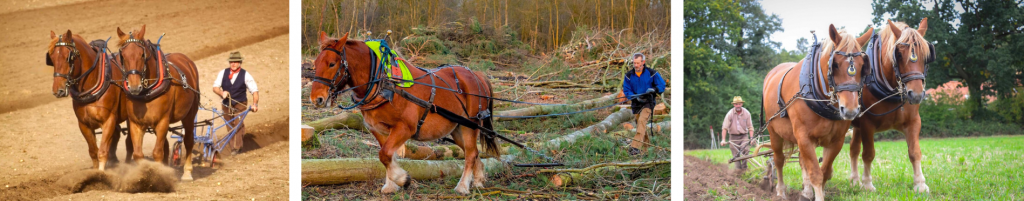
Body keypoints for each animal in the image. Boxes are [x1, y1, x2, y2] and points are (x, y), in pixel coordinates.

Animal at [46, 30, 135, 170]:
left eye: (68, 57)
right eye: (52, 58)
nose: (57, 90)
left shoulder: (109, 120)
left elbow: (102, 152)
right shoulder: (84, 124)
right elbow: (93, 152)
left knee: (129, 141)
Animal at [115, 25, 200, 180]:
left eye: (142, 55)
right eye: (122, 56)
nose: (134, 87)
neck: (146, 93)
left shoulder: (162, 121)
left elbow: (157, 152)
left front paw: (159, 175)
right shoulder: (136, 124)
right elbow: (138, 154)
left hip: (190, 114)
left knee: (188, 140)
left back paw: (187, 172)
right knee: (166, 145)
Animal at [309, 31, 501, 194]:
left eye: (332, 64)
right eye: (315, 64)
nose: (316, 99)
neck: (384, 83)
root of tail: (476, 75)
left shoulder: (405, 128)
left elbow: (385, 154)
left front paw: (402, 178)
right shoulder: (378, 129)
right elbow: (388, 156)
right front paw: (391, 185)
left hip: (471, 126)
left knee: (470, 154)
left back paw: (462, 186)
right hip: (457, 129)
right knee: (473, 152)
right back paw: (478, 180)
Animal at [765, 25, 868, 201]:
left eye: (863, 66)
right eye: (835, 65)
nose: (850, 110)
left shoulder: (836, 140)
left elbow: (825, 171)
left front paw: (815, 192)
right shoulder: (804, 137)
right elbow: (816, 174)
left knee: (801, 161)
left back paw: (805, 192)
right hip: (774, 133)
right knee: (778, 160)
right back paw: (780, 191)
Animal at [847, 18, 937, 192]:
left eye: (926, 55)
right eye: (899, 54)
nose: (916, 94)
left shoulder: (913, 122)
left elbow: (915, 152)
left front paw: (920, 184)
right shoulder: (867, 124)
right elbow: (868, 153)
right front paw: (867, 183)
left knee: (853, 149)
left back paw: (854, 181)